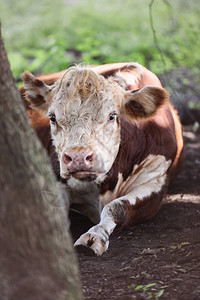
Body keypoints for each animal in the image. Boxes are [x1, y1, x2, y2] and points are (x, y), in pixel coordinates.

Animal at [21, 62, 183, 255]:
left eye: (111, 116)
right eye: (52, 118)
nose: (78, 157)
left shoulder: (155, 183)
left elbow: (116, 207)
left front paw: (94, 237)